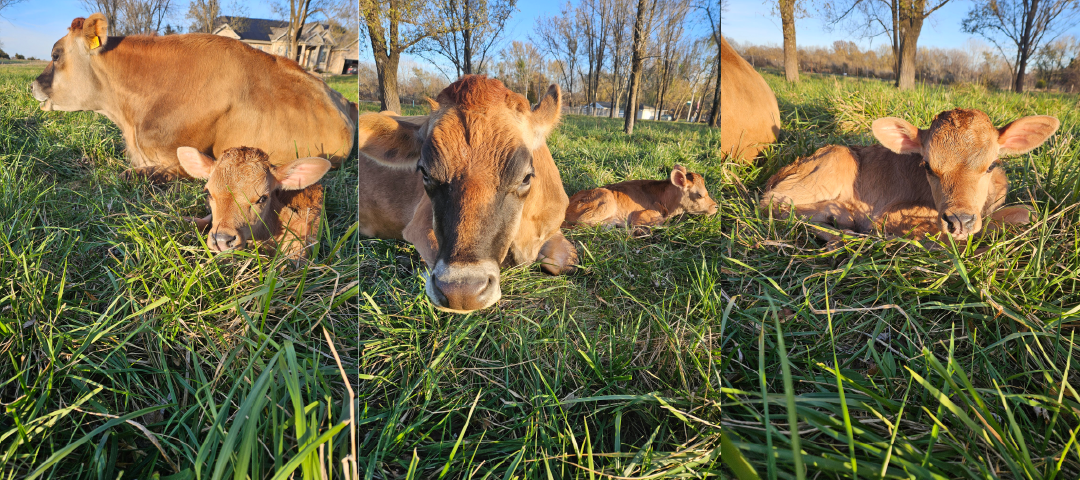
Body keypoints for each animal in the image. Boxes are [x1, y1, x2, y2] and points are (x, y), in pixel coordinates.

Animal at [760, 107, 1054, 243]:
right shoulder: (888, 215)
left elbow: (1027, 212)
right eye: (927, 166)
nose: (959, 221)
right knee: (774, 206)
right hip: (835, 160)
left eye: (992, 165)